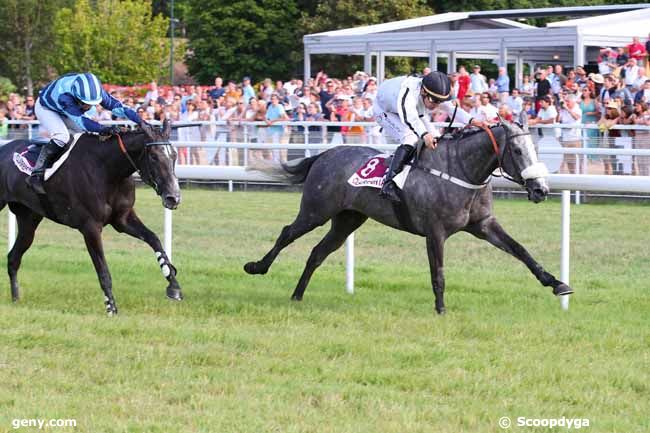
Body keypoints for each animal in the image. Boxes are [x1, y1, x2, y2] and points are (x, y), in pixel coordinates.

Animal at [1, 121, 182, 314]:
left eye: (174, 155)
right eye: (154, 156)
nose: (173, 197)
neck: (108, 170)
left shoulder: (123, 219)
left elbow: (154, 239)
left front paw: (173, 285)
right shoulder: (91, 227)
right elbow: (103, 270)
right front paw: (111, 308)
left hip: (29, 219)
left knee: (13, 258)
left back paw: (16, 299)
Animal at [244, 117, 572, 314]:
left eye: (534, 148)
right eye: (517, 151)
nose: (540, 190)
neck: (461, 171)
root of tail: (324, 154)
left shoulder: (483, 225)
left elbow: (521, 251)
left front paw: (557, 284)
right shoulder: (435, 231)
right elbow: (438, 272)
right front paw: (440, 309)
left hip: (347, 220)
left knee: (317, 253)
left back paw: (297, 295)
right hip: (316, 210)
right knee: (287, 233)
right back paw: (256, 267)